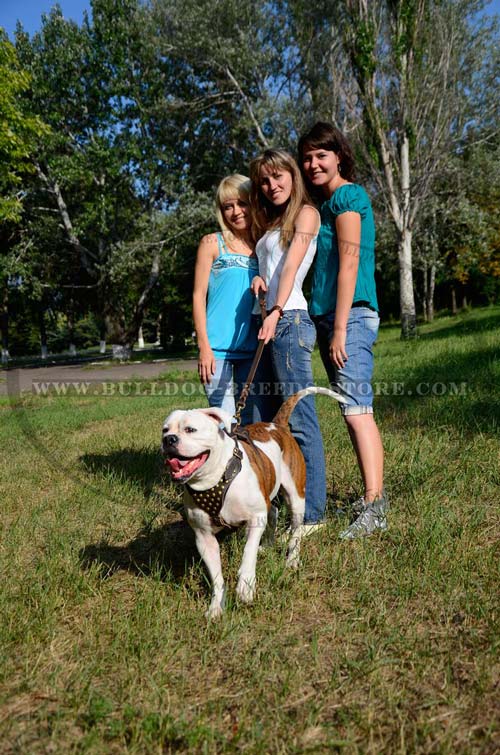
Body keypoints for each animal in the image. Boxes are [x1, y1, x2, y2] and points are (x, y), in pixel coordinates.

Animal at [163, 386, 344, 616]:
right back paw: (267, 544)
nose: (169, 439)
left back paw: (292, 560)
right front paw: (216, 606)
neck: (214, 479)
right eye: (165, 430)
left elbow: (248, 552)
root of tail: (277, 425)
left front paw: (245, 587)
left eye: (190, 429)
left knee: (295, 531)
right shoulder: (204, 538)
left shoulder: (255, 518)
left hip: (296, 498)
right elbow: (216, 576)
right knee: (273, 512)